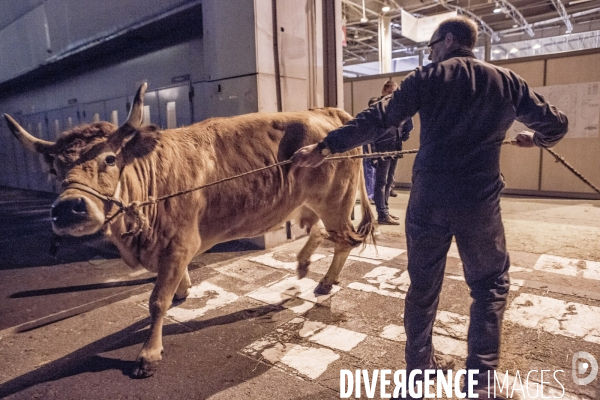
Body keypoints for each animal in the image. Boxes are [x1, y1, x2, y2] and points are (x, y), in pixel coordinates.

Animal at [2, 83, 372, 376]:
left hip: (336, 200)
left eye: (109, 159)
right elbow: (170, 289)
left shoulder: (178, 243)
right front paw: (182, 289)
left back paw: (325, 282)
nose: (68, 208)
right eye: (55, 168)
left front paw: (149, 355)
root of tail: (324, 110)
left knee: (343, 240)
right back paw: (304, 264)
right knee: (322, 233)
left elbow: (156, 301)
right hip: (311, 204)